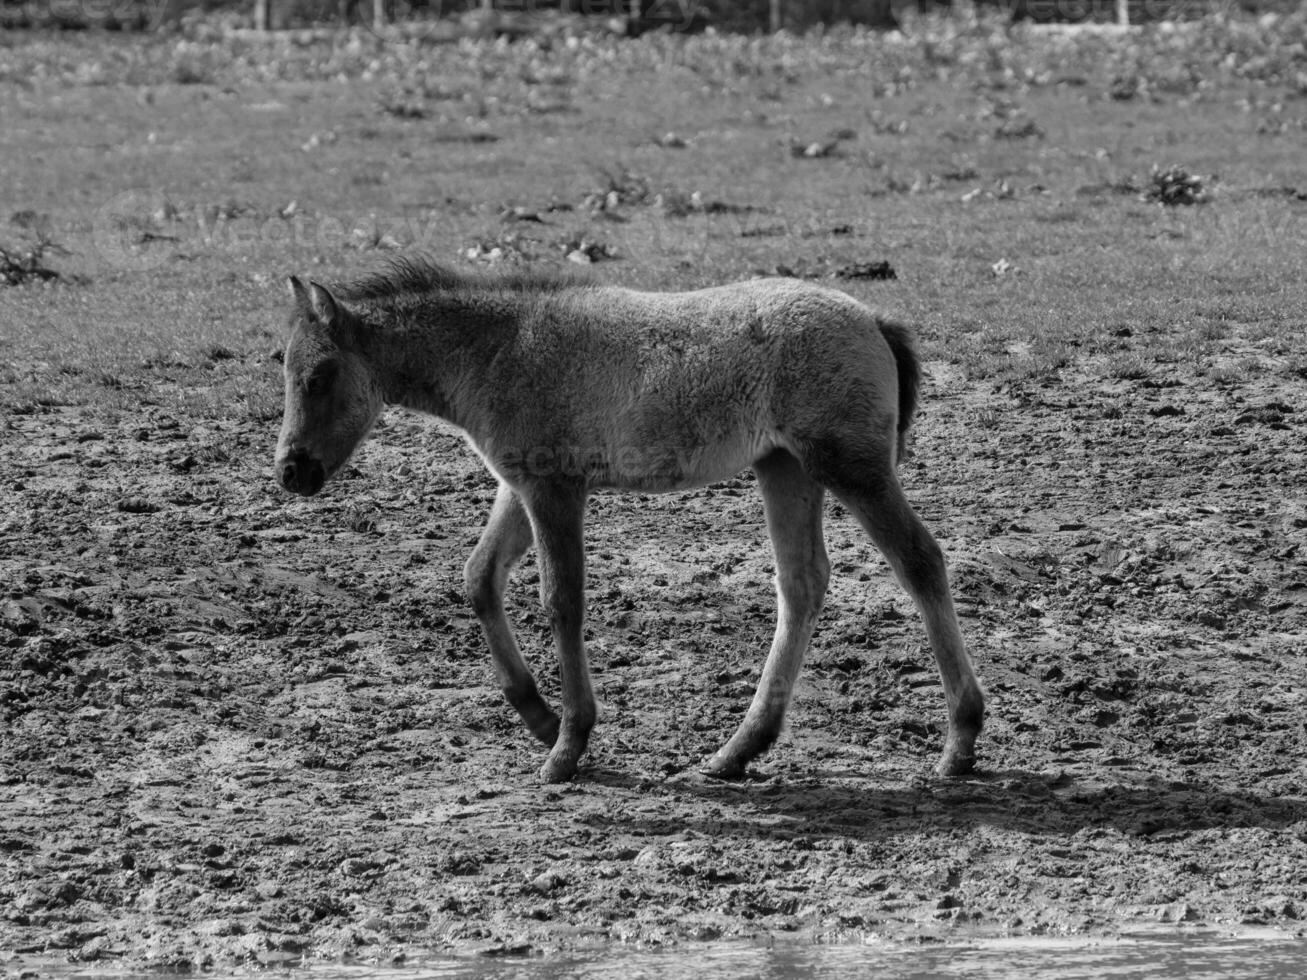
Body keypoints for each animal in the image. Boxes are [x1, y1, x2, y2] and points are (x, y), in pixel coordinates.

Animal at [278, 257, 988, 789]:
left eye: (320, 376)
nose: (290, 470)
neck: (500, 348)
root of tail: (874, 318)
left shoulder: (554, 489)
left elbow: (561, 601)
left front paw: (567, 746)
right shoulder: (519, 486)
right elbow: (479, 579)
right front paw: (538, 717)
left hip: (850, 466)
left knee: (920, 561)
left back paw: (959, 741)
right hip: (785, 468)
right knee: (802, 584)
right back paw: (737, 750)